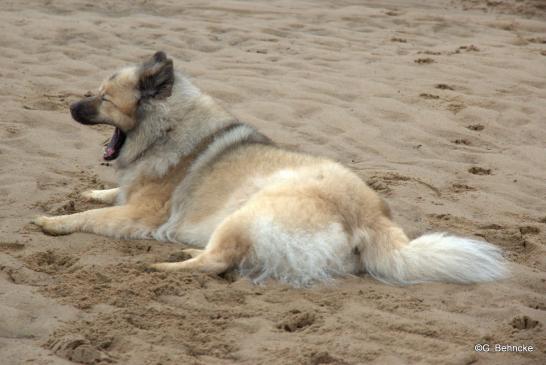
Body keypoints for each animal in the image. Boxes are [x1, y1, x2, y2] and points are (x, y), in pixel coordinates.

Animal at [30, 51, 506, 286]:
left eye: (104, 99)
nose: (70, 106)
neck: (168, 128)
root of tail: (373, 218)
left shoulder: (140, 215)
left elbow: (92, 216)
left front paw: (53, 221)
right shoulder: (129, 193)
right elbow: (106, 194)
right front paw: (89, 191)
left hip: (248, 211)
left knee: (217, 262)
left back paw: (164, 267)